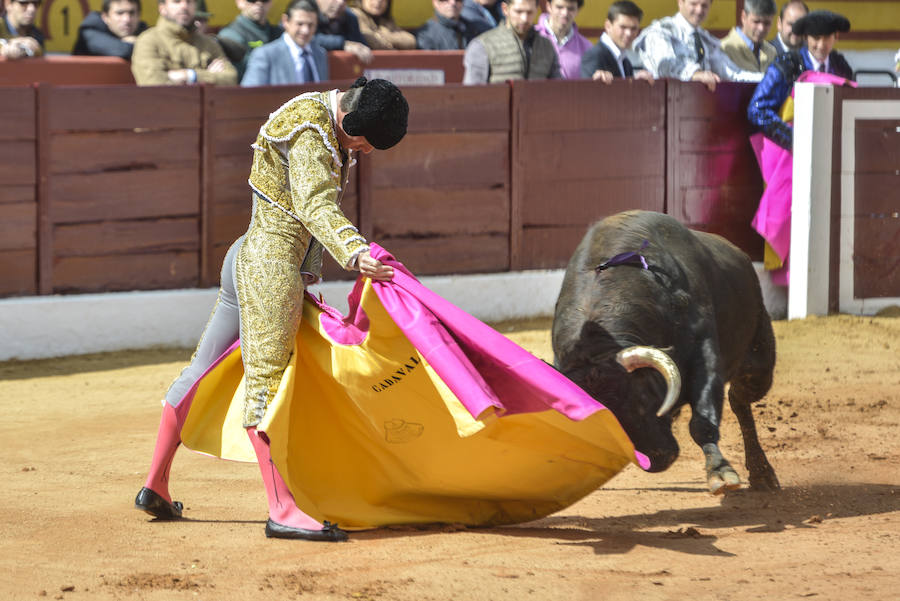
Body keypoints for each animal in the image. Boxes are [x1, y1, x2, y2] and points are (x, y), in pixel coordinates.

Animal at [548, 211, 780, 492]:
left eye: (642, 398)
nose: (657, 459)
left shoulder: (704, 351)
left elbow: (702, 420)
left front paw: (721, 473)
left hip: (758, 364)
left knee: (740, 399)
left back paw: (762, 473)